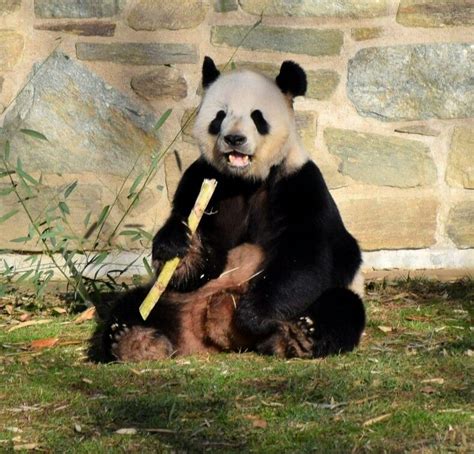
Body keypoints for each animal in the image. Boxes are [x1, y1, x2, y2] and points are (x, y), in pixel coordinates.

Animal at [90, 57, 366, 362]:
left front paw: (254, 315)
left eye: (257, 117)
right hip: (171, 299)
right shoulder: (203, 181)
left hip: (336, 295)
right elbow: (202, 254)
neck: (245, 180)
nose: (234, 139)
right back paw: (134, 341)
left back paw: (299, 336)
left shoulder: (299, 183)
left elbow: (305, 256)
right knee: (132, 305)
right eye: (219, 116)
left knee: (340, 308)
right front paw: (181, 248)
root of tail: (210, 334)